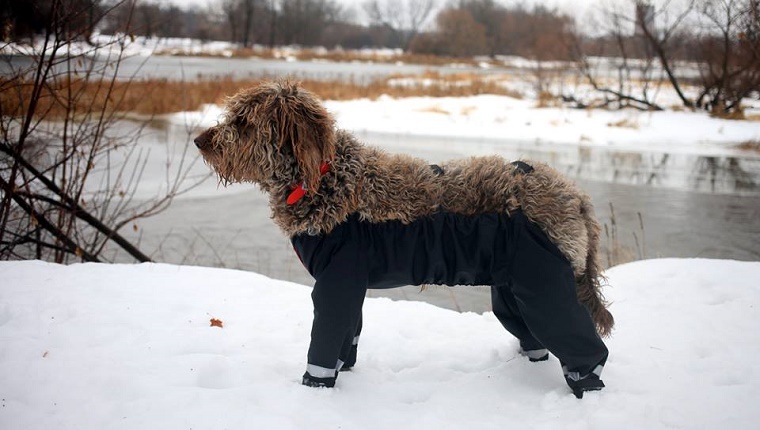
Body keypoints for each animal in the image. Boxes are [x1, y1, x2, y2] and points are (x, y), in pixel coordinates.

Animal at [194, 80, 612, 396]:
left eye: (243, 122)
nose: (199, 140)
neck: (325, 178)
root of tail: (576, 196)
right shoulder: (349, 282)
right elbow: (348, 337)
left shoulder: (336, 281)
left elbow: (325, 340)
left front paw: (314, 390)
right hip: (515, 289)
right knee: (535, 338)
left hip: (545, 288)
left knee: (583, 348)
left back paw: (586, 387)